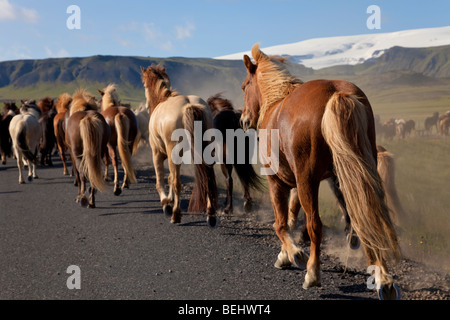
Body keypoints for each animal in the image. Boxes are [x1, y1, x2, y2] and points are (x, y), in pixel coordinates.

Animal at [141, 64, 218, 225]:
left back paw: (175, 214)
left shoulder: (157, 154)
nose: (146, 106)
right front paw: (169, 200)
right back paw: (211, 214)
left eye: (144, 84)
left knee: (177, 182)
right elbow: (170, 177)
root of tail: (189, 104)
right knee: (207, 178)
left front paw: (166, 203)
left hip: (173, 154)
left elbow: (161, 179)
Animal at [239, 45, 400, 300]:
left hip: (309, 181)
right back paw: (382, 278)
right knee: (366, 218)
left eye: (245, 86)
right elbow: (292, 217)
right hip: (358, 173)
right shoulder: (306, 181)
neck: (275, 103)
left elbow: (281, 223)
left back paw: (313, 273)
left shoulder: (278, 181)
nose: (243, 119)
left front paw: (295, 254)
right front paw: (285, 255)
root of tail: (336, 92)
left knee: (316, 225)